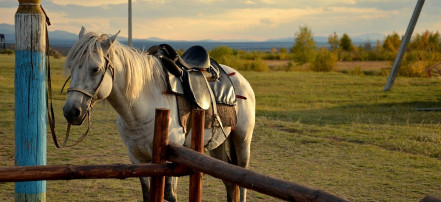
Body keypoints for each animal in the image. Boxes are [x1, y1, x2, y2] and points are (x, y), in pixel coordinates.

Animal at [62, 27, 254, 202]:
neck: (141, 108)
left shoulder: (169, 160)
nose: (71, 111)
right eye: (70, 67)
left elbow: (169, 195)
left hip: (242, 140)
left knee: (243, 180)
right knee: (230, 182)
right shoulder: (137, 158)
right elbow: (148, 194)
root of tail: (239, 77)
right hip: (217, 145)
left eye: (95, 69)